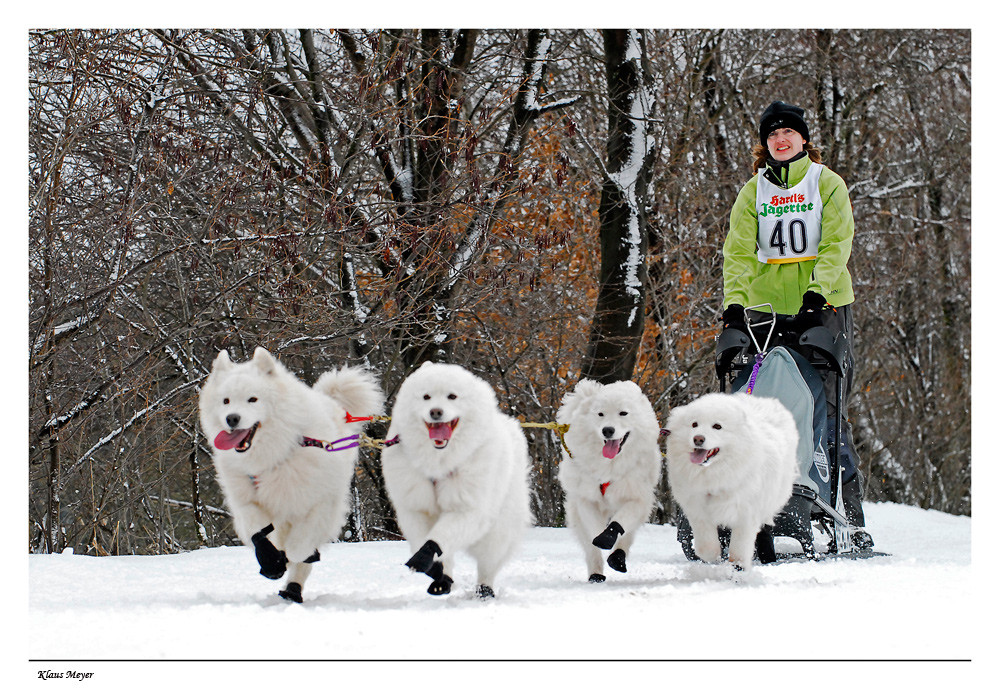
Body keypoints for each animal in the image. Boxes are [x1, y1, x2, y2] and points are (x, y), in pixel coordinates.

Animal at [198, 346, 382, 600]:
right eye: (225, 401)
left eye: (252, 399)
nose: (231, 418)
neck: (273, 455)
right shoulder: (246, 498)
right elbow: (259, 531)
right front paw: (271, 561)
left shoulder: (317, 502)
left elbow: (300, 546)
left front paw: (294, 557)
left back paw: (293, 589)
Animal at [556, 376, 664, 580]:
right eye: (600, 414)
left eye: (623, 413)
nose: (608, 430)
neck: (610, 466)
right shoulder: (587, 499)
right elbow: (595, 531)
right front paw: (603, 538)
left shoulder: (637, 497)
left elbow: (621, 522)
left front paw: (611, 541)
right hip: (576, 513)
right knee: (590, 549)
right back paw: (596, 574)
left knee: (627, 536)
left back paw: (618, 558)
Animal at [664, 390, 796, 568]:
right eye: (694, 424)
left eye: (717, 426)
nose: (698, 438)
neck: (715, 474)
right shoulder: (697, 509)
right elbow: (706, 544)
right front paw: (713, 557)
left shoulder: (745, 512)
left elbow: (739, 548)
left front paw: (737, 566)